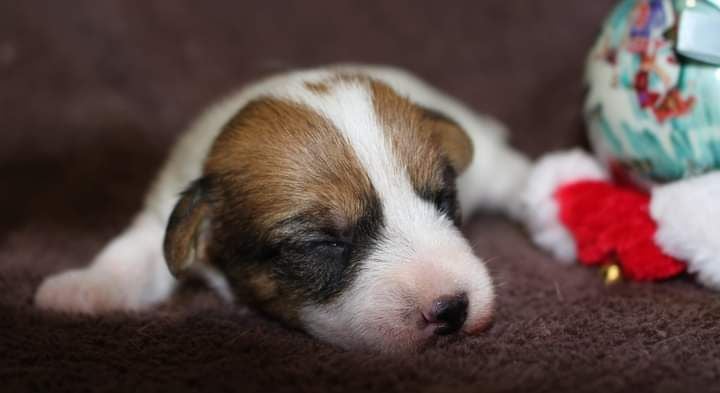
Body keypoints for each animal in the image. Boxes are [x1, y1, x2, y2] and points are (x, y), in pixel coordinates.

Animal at [33, 65, 528, 352]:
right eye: (322, 242)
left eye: (443, 199)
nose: (451, 309)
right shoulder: (164, 211)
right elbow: (130, 254)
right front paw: (82, 287)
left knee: (508, 170)